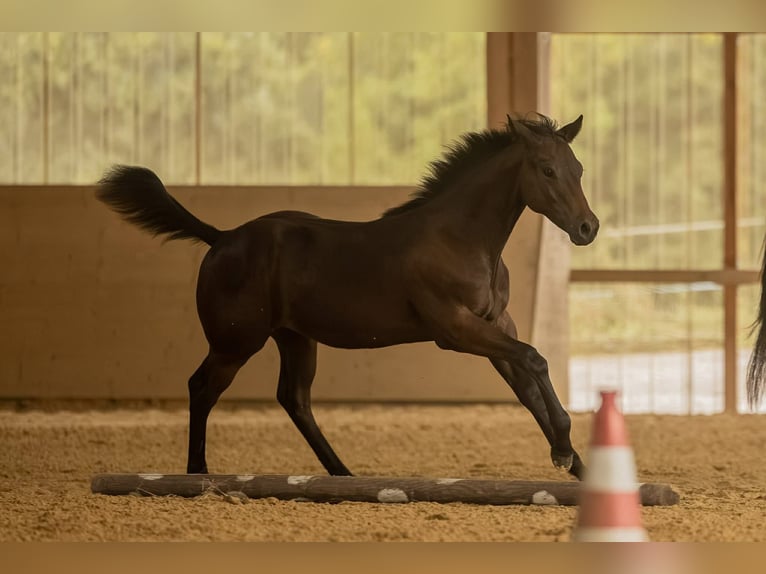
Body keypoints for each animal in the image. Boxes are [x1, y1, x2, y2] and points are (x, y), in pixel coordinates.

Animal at [96, 113, 599, 480]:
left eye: (578, 170)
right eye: (547, 170)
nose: (587, 228)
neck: (461, 239)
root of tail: (221, 238)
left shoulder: (495, 325)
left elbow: (528, 388)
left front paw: (577, 466)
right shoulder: (456, 329)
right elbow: (535, 359)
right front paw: (564, 451)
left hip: (296, 338)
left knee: (294, 399)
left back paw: (343, 475)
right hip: (235, 343)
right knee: (202, 388)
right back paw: (197, 473)